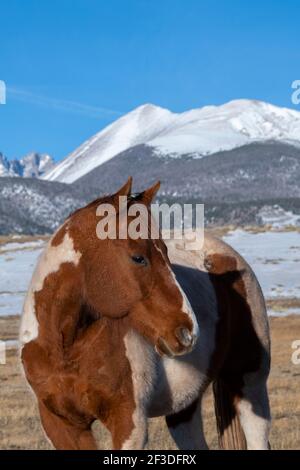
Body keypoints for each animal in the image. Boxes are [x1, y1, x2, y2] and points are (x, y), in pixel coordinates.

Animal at [19, 178, 272, 450]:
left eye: (166, 253)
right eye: (138, 257)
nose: (187, 332)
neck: (66, 348)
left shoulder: (129, 421)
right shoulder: (61, 426)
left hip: (250, 385)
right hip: (185, 406)